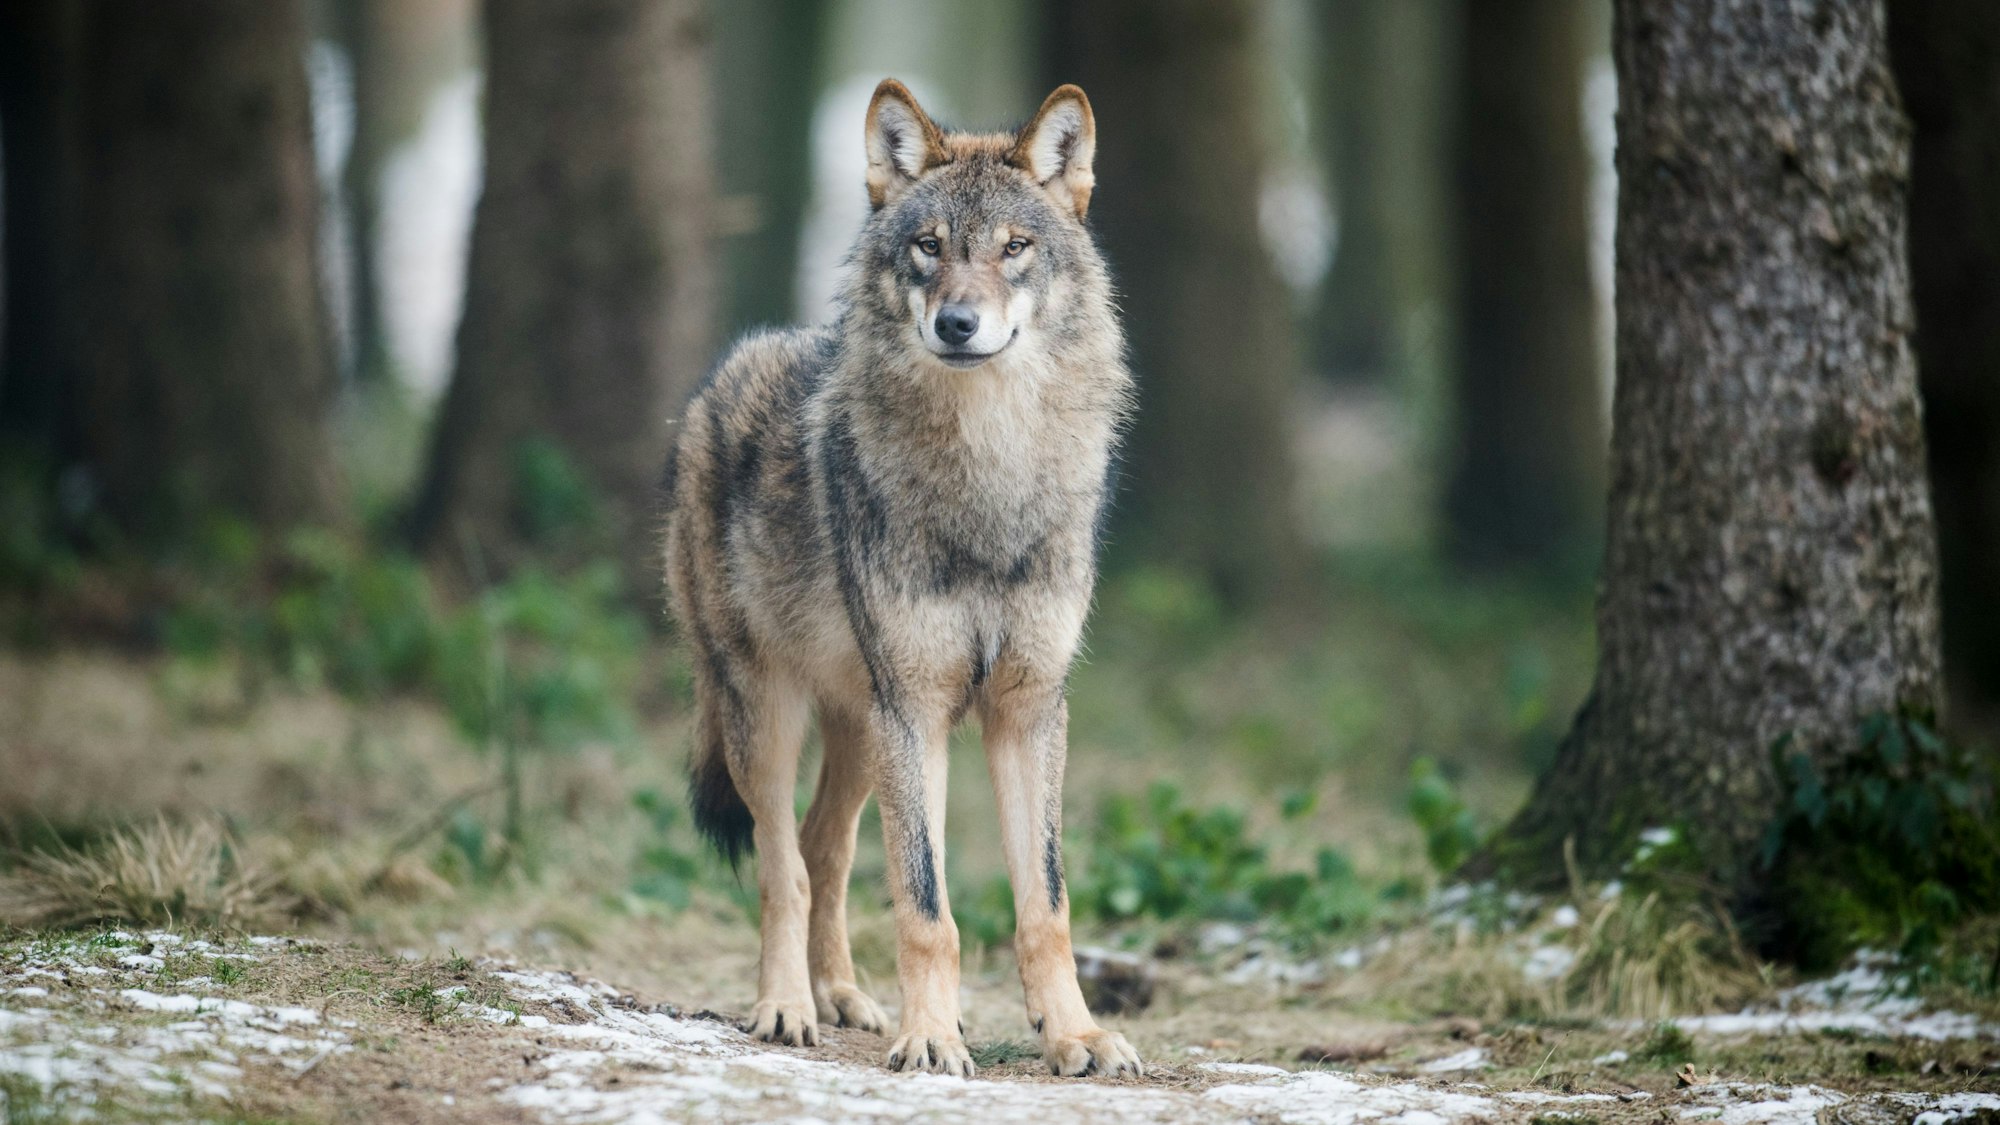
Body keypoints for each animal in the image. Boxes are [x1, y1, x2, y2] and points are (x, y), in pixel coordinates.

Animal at [662, 79, 1137, 1078]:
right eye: (929, 246)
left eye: (1013, 248)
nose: (958, 323)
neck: (989, 477)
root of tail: (715, 380)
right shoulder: (915, 707)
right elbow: (927, 906)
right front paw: (931, 1037)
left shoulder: (1028, 708)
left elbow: (1046, 902)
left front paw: (1072, 1035)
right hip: (772, 712)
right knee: (783, 863)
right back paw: (786, 1006)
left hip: (858, 728)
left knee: (825, 847)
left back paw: (842, 994)